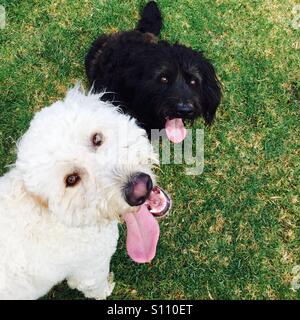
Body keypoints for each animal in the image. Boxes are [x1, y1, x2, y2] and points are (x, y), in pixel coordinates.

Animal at [0, 85, 170, 300]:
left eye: (97, 139)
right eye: (71, 179)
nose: (140, 189)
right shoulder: (90, 270)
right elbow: (97, 288)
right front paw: (107, 289)